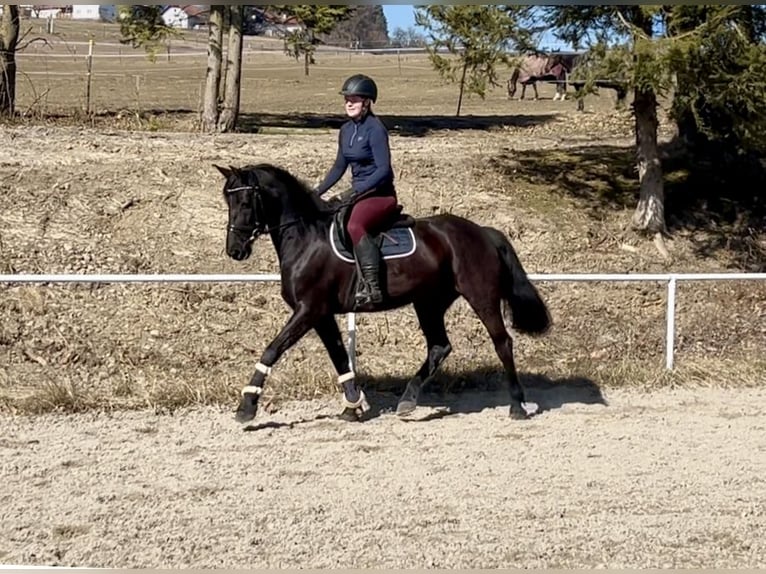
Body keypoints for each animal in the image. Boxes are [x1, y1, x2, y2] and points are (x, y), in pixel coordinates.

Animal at [214, 164, 552, 426]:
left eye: (246, 202)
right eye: (229, 201)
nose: (235, 251)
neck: (306, 237)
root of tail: (482, 232)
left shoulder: (308, 310)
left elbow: (272, 350)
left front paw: (247, 407)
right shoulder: (321, 314)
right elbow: (340, 358)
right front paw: (354, 405)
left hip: (480, 297)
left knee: (502, 342)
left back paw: (517, 406)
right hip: (428, 303)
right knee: (439, 347)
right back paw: (408, 401)